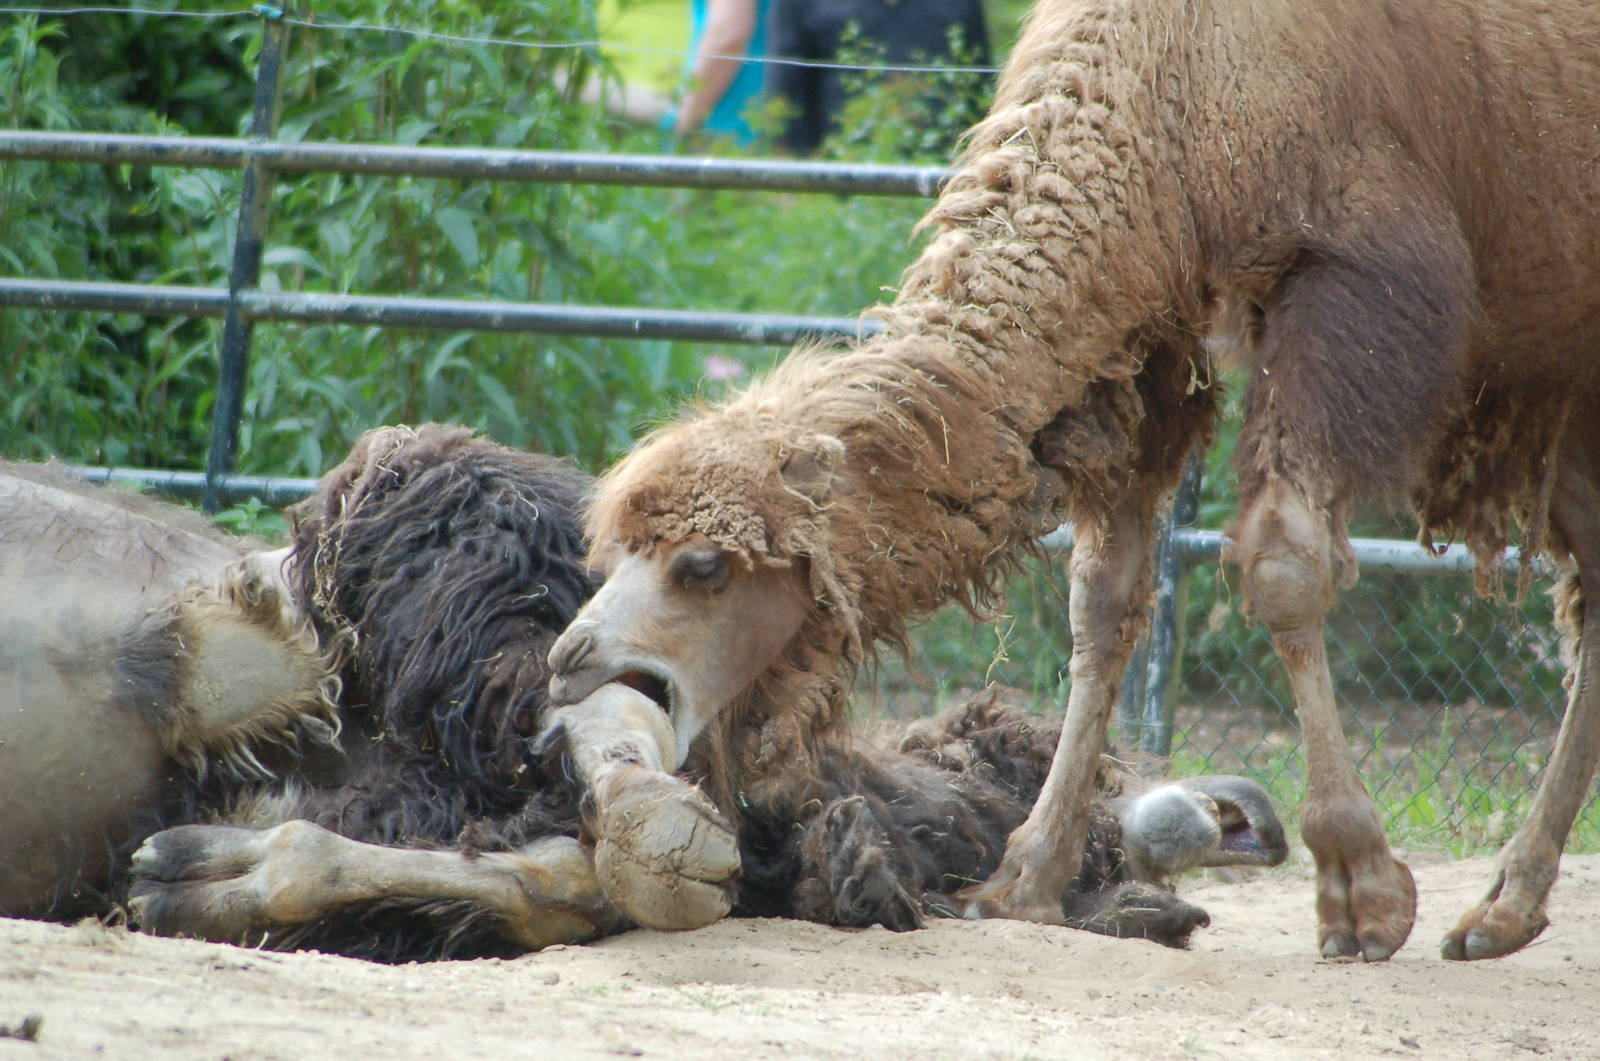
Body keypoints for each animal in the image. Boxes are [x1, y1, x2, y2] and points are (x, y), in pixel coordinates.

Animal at [547, 0, 1600, 963]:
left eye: (704, 564)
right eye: (616, 544)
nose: (570, 658)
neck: (1165, 98)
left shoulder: (1361, 278)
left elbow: (1282, 564)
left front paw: (1360, 891)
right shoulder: (1142, 346)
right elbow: (1103, 597)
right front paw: (1025, 877)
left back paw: (1489, 903)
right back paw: (1504, 910)